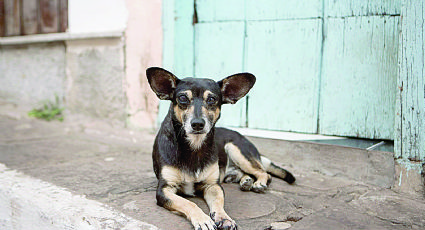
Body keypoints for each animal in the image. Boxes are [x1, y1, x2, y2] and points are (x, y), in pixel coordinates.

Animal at [147, 67, 294, 229]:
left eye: (212, 99)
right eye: (183, 98)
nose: (197, 124)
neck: (194, 146)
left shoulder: (213, 186)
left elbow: (218, 202)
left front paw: (224, 218)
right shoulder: (164, 189)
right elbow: (188, 203)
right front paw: (203, 219)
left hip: (236, 149)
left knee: (264, 173)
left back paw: (258, 183)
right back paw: (246, 181)